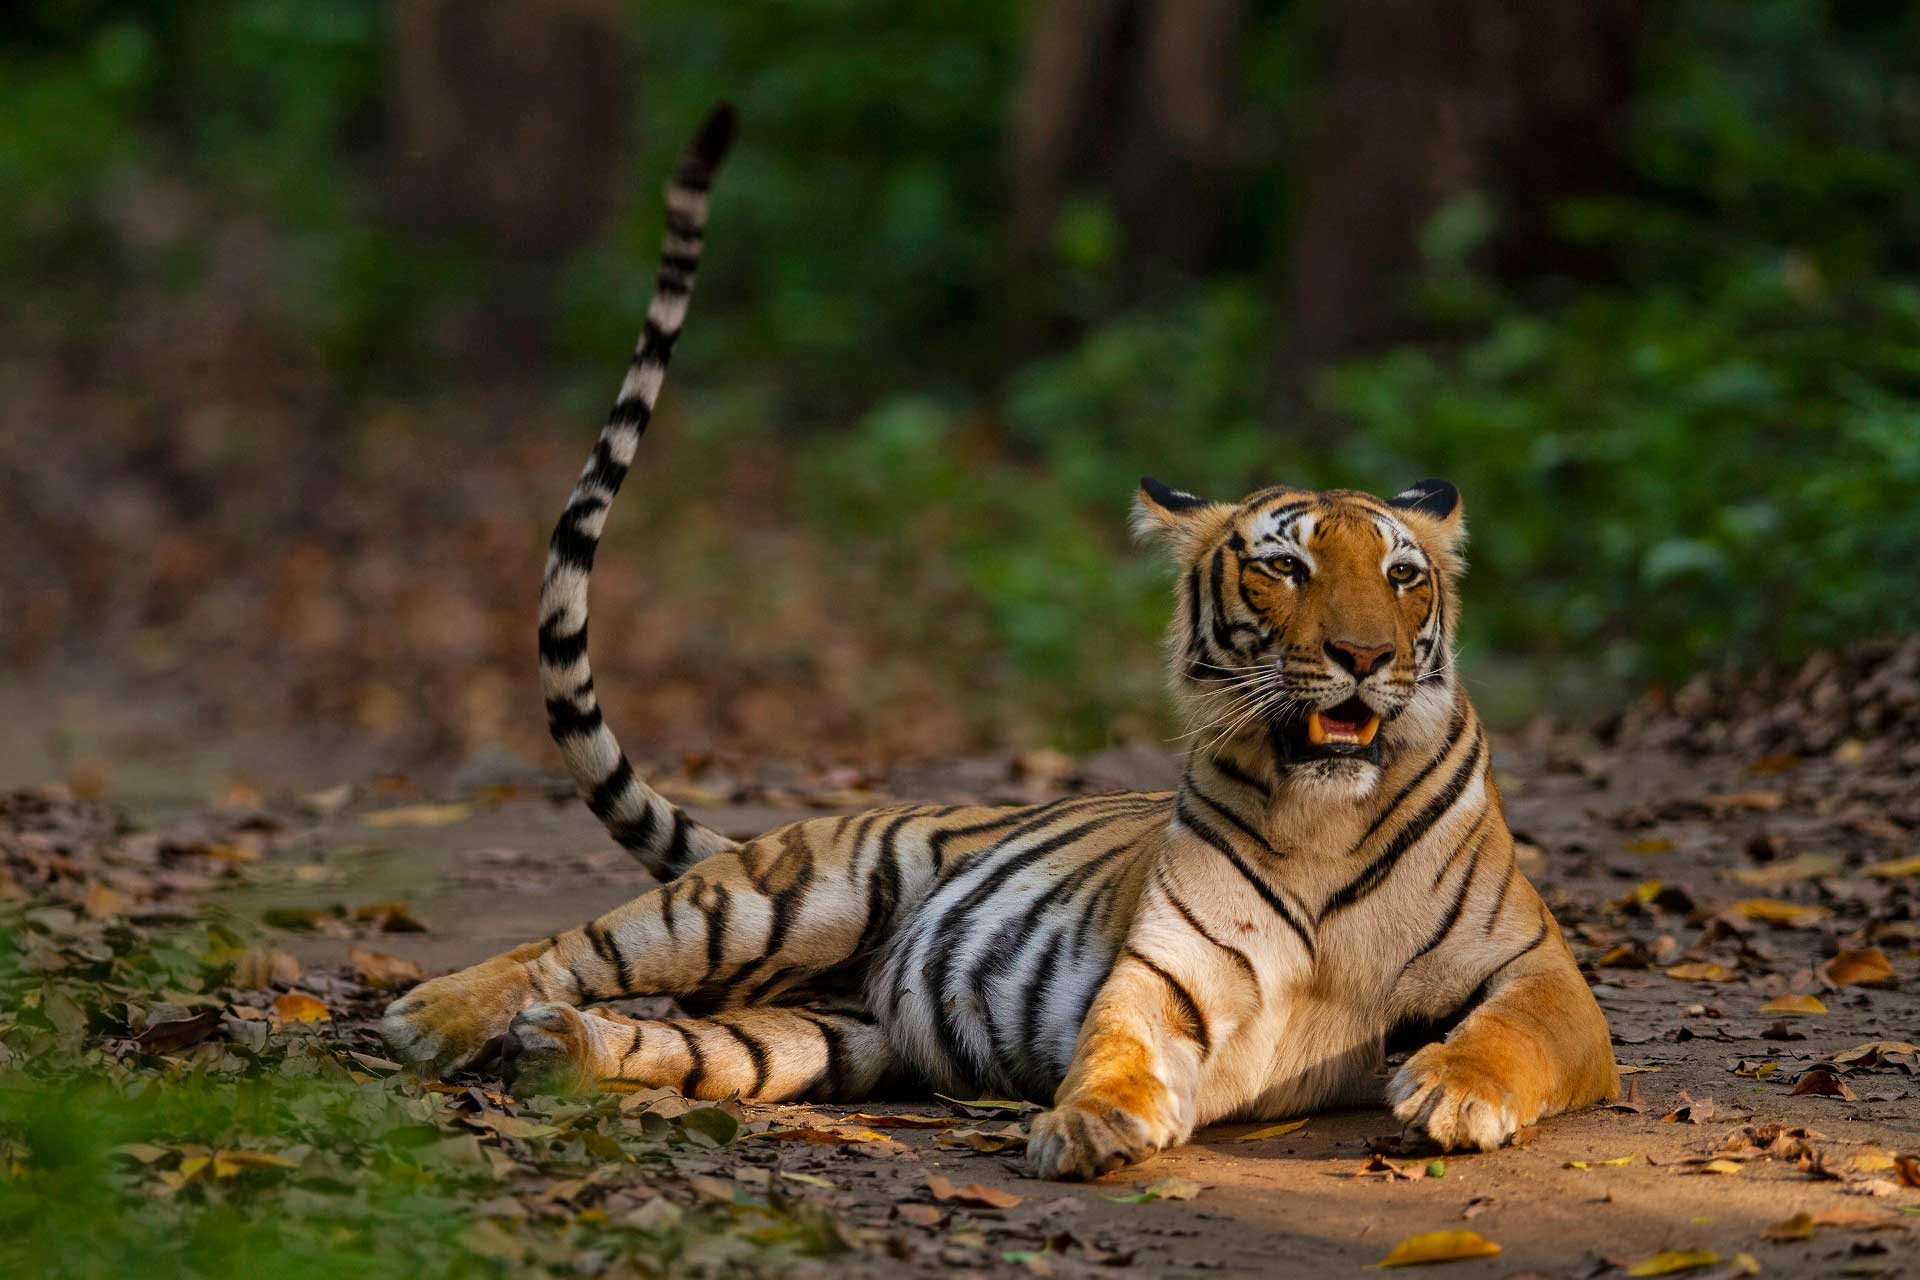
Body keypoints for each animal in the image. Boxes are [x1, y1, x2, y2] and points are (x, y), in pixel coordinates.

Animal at [380, 104, 1619, 1179]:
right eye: (1286, 567)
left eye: (1404, 577)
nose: (1365, 654)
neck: (1326, 814)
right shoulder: (1169, 972)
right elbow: (1119, 1040)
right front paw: (1090, 1120)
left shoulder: (1541, 970)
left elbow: (1515, 1033)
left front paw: (1453, 1088)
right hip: (770, 898)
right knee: (575, 944)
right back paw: (437, 1015)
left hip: (821, 1032)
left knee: (689, 1039)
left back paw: (560, 1046)